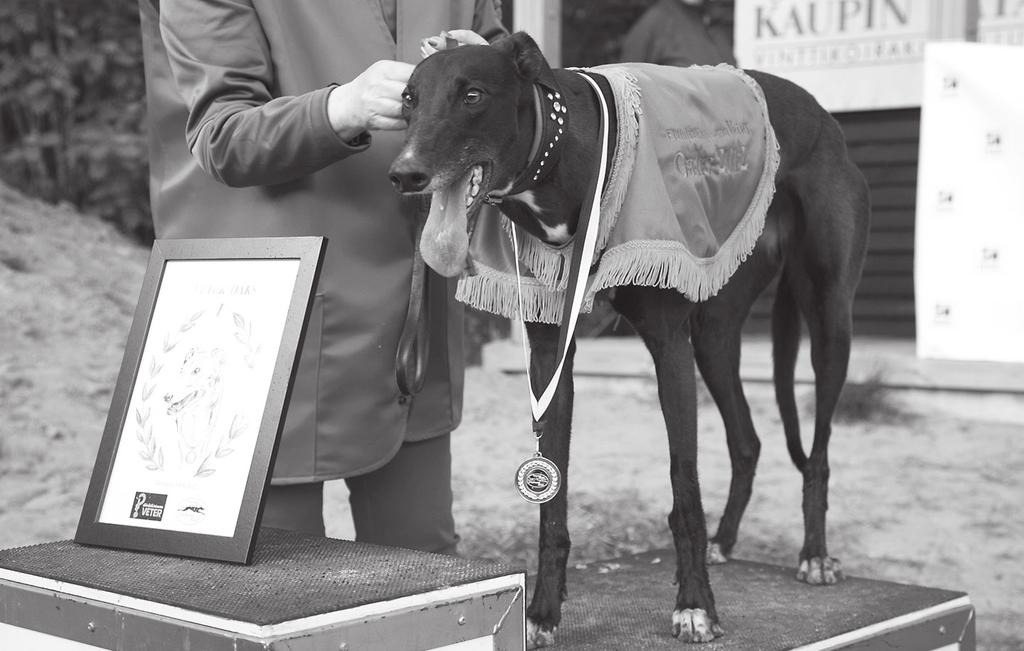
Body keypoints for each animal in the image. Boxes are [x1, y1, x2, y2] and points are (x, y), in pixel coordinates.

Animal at [387, 31, 868, 646]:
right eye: (408, 99)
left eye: (472, 94)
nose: (405, 175)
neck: (566, 156)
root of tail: (825, 118)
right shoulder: (551, 354)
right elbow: (552, 501)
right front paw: (542, 612)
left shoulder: (667, 344)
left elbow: (684, 488)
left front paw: (695, 606)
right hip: (714, 335)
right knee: (747, 440)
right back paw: (725, 541)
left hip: (828, 317)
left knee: (819, 452)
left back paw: (814, 554)